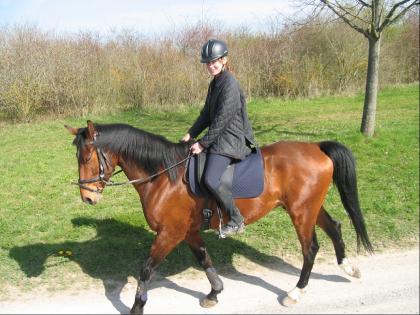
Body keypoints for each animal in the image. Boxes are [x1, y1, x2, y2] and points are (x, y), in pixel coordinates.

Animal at [64, 120, 372, 314]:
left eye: (87, 156)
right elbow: (204, 259)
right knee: (335, 227)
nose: (87, 198)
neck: (164, 176)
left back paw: (295, 292)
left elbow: (147, 269)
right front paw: (215, 293)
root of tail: (316, 147)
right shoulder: (188, 232)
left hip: (301, 212)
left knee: (310, 248)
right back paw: (349, 268)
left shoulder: (170, 234)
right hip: (309, 207)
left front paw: (137, 307)